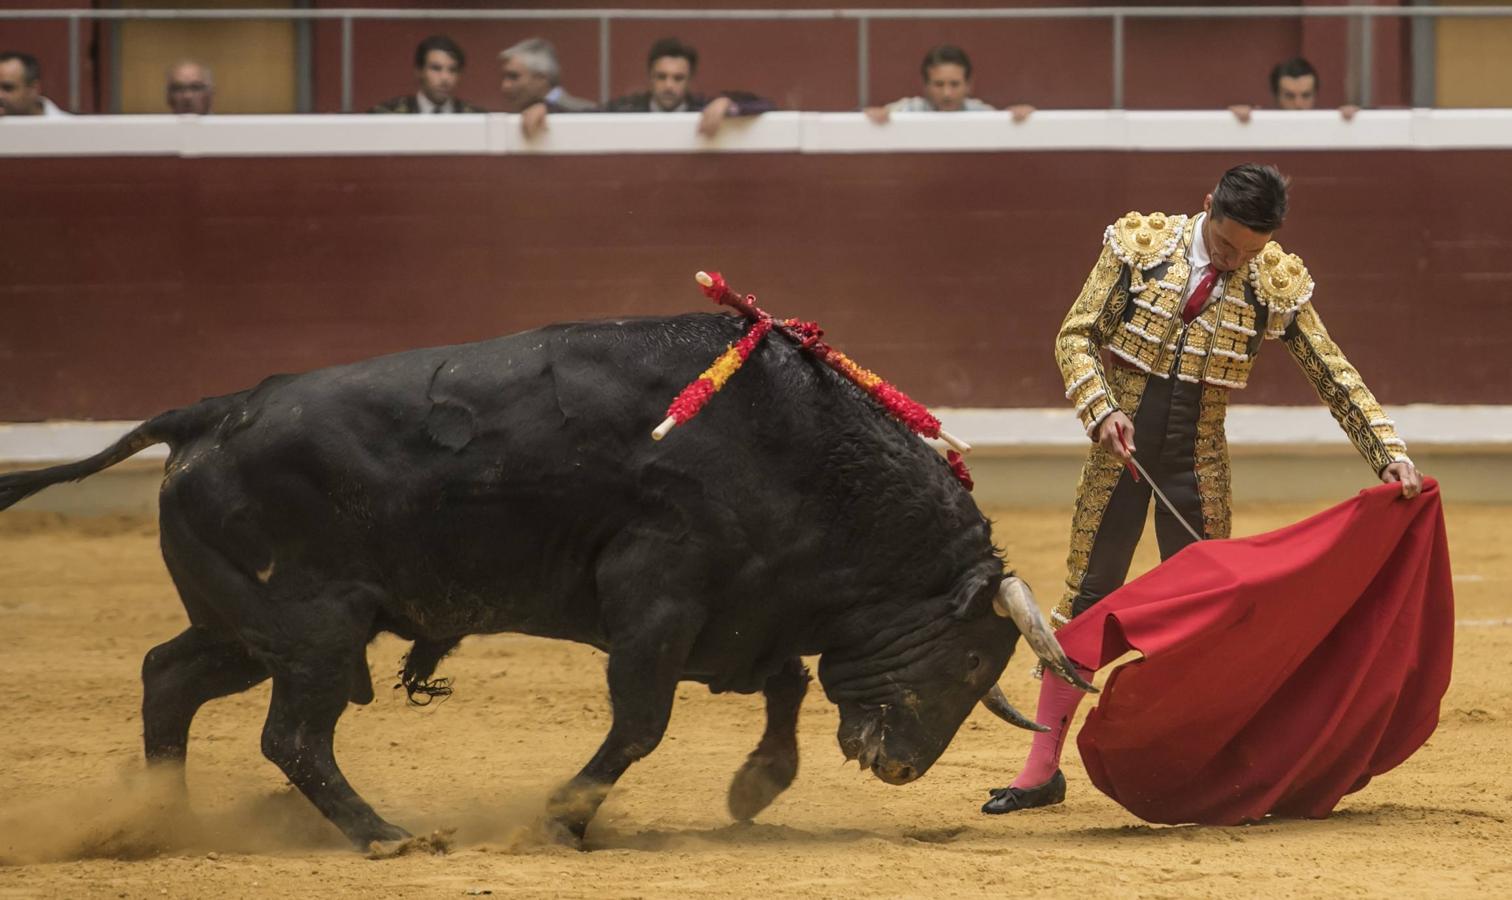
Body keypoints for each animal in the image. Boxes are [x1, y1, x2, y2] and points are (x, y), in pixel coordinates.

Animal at [0, 313, 1088, 847]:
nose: (901, 767)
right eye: (971, 661)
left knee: (168, 676)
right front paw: (562, 817)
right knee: (291, 736)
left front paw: (754, 789)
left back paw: (161, 821)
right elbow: (642, 724)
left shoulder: (749, 614)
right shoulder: (658, 600)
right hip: (312, 632)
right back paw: (387, 837)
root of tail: (208, 414)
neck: (810, 457)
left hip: (245, 627)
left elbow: (779, 690)